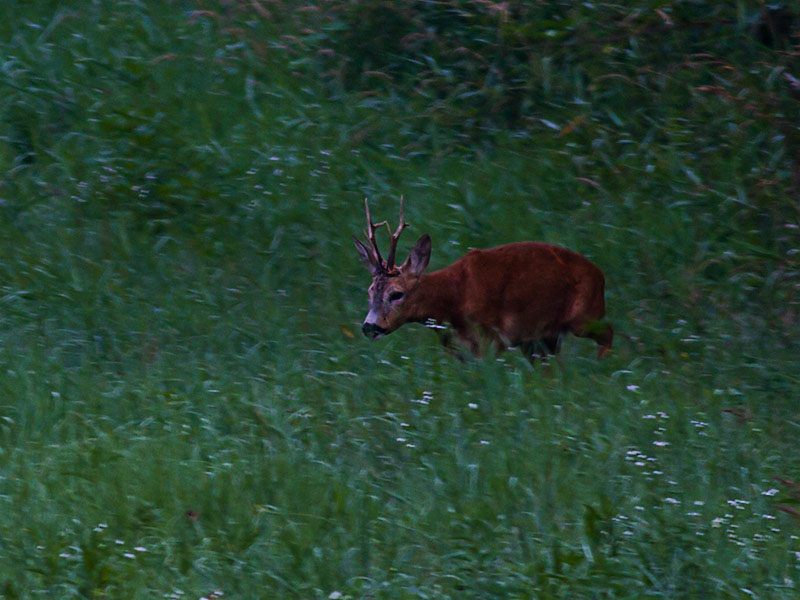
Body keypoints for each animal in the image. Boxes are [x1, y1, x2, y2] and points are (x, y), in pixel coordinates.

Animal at [352, 198, 612, 366]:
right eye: (370, 291)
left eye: (396, 294)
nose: (369, 326)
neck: (454, 295)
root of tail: (600, 275)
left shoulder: (489, 334)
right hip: (544, 338)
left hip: (582, 316)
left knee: (608, 331)